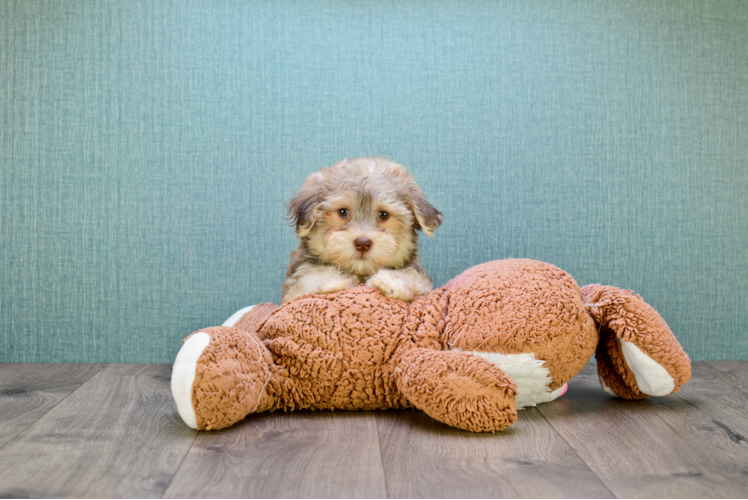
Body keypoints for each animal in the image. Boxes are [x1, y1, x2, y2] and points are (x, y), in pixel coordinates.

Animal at [284, 156, 442, 304]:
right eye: (342, 212)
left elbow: (412, 275)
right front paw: (330, 280)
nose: (363, 243)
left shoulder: (423, 282)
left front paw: (391, 280)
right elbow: (308, 278)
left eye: (384, 215)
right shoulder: (292, 292)